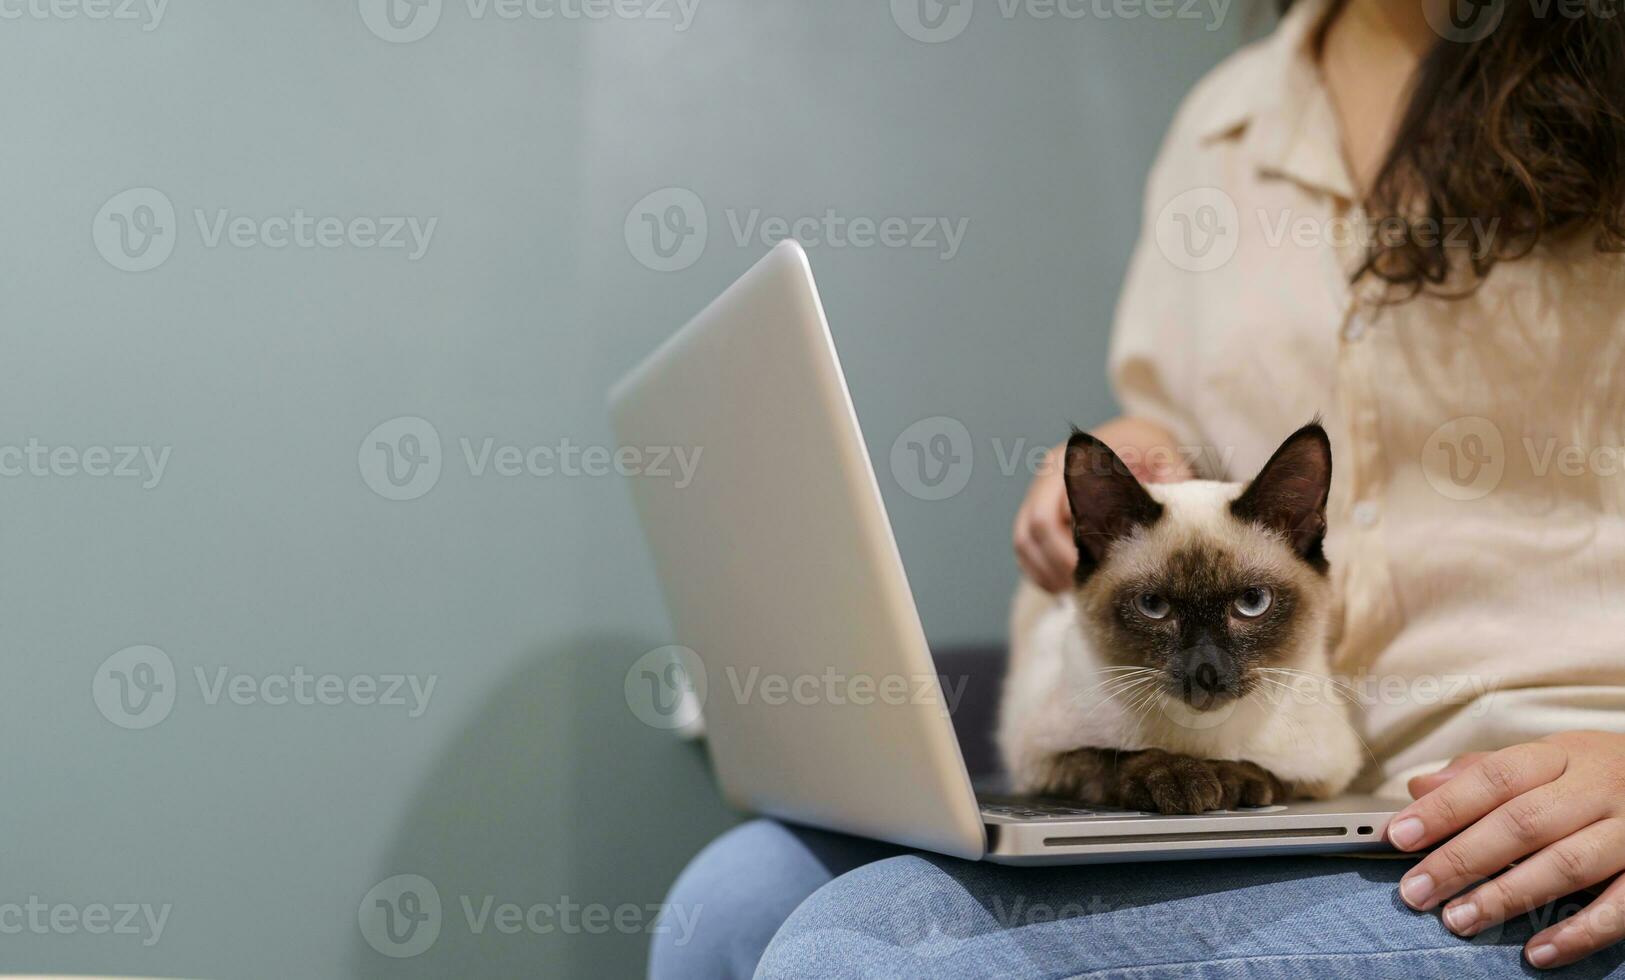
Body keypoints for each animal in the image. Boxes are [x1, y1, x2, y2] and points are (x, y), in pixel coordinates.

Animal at [994, 425, 1365, 815]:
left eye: (1251, 602)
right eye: (1153, 605)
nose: (1206, 672)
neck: (1198, 741)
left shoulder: (1324, 772)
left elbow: (1262, 771)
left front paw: (1228, 782)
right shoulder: (1039, 758)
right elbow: (1113, 756)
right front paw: (1180, 779)